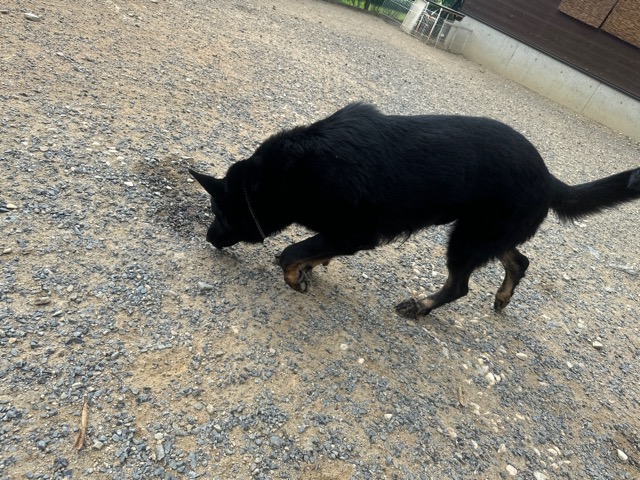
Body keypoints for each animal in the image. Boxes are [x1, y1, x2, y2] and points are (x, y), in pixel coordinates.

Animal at [189, 103, 640, 317]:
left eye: (218, 210)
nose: (209, 239)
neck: (285, 174)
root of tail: (549, 177)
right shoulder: (340, 235)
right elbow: (311, 250)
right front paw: (312, 268)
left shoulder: (355, 234)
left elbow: (289, 252)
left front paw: (297, 277)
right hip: (482, 233)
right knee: (518, 260)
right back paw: (502, 296)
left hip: (469, 238)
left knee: (460, 286)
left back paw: (421, 307)